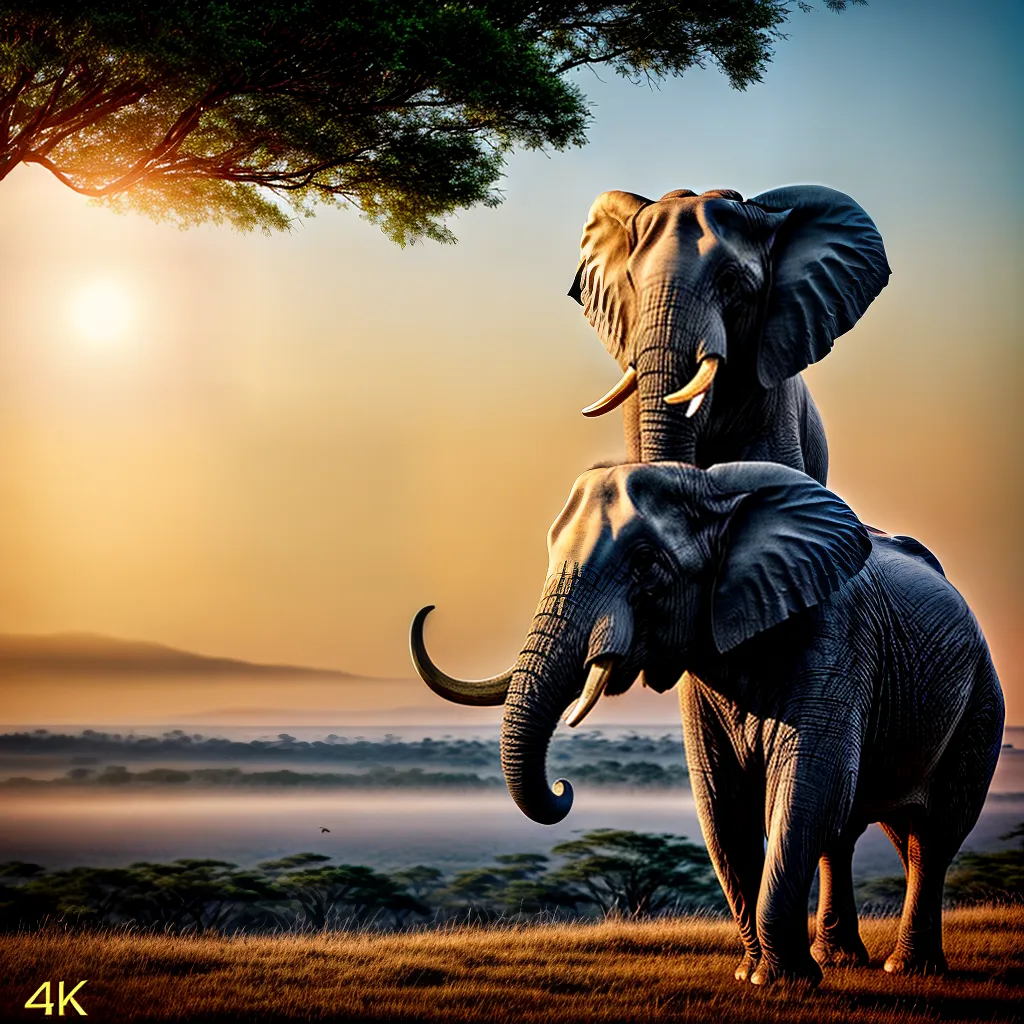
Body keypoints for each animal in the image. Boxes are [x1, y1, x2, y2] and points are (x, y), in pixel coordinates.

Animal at [411, 462, 1003, 985]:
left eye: (645, 564)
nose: (563, 788)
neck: (711, 490)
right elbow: (723, 801)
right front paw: (754, 973)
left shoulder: (836, 634)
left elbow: (805, 786)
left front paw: (780, 981)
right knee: (860, 832)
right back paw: (842, 961)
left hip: (982, 698)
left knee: (932, 833)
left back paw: (907, 969)